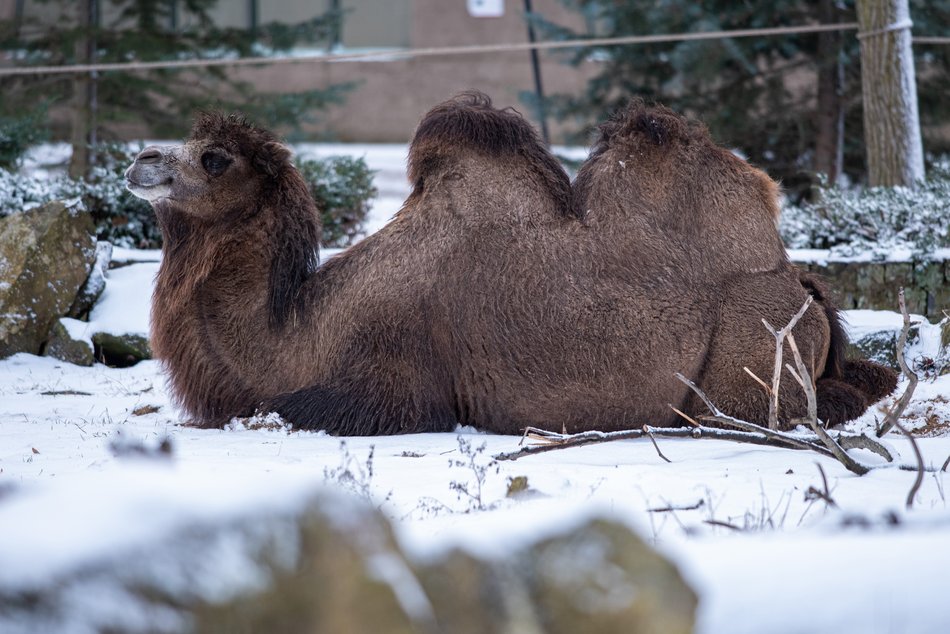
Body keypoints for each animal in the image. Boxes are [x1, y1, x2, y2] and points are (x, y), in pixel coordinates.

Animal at [128, 91, 900, 432]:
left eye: (215, 158)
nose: (140, 158)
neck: (301, 333)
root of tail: (800, 283)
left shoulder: (392, 385)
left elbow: (297, 408)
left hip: (745, 357)